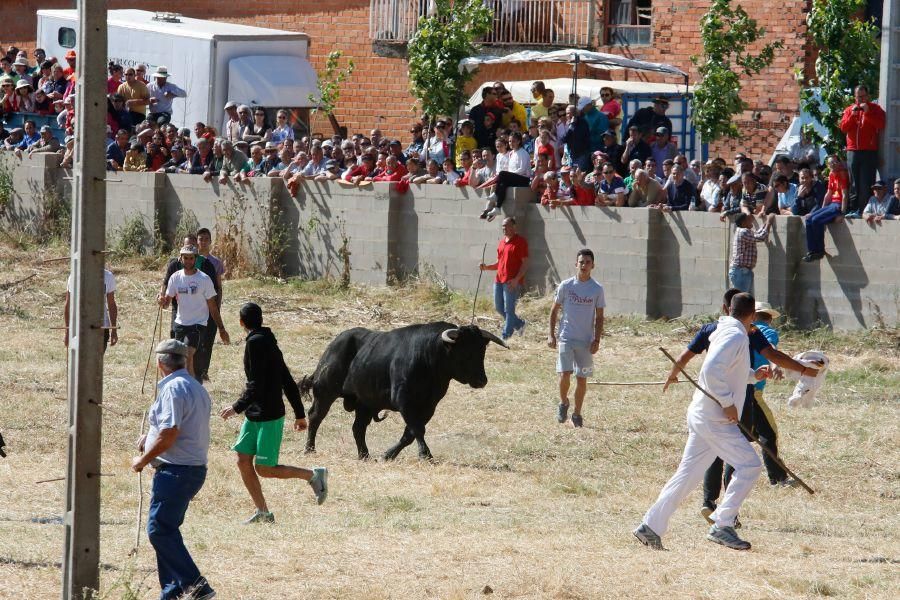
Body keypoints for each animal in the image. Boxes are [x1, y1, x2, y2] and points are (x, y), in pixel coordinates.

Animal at [298, 324, 502, 460]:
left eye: (481, 350)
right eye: (465, 352)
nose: (482, 380)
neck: (430, 355)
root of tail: (333, 345)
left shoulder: (428, 406)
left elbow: (410, 433)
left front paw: (388, 455)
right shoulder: (404, 400)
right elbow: (417, 429)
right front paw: (426, 455)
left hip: (364, 403)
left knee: (358, 428)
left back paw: (365, 455)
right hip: (325, 391)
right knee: (315, 417)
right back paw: (310, 449)